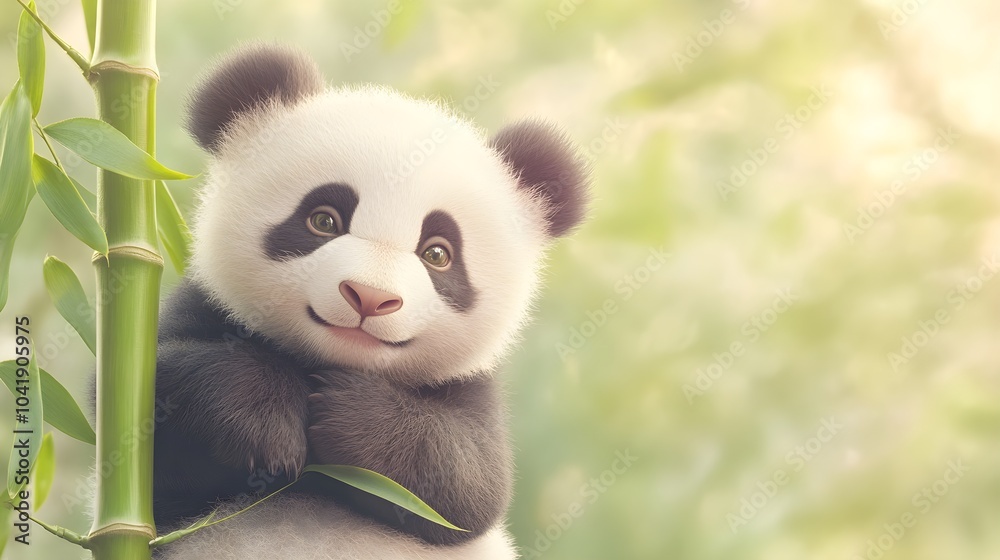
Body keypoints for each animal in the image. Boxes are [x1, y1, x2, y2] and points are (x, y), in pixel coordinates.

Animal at [151, 44, 589, 560]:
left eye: (437, 253)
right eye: (324, 220)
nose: (371, 297)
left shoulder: (471, 386)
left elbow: (470, 483)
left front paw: (343, 411)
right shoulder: (202, 309)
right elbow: (152, 402)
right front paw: (265, 423)